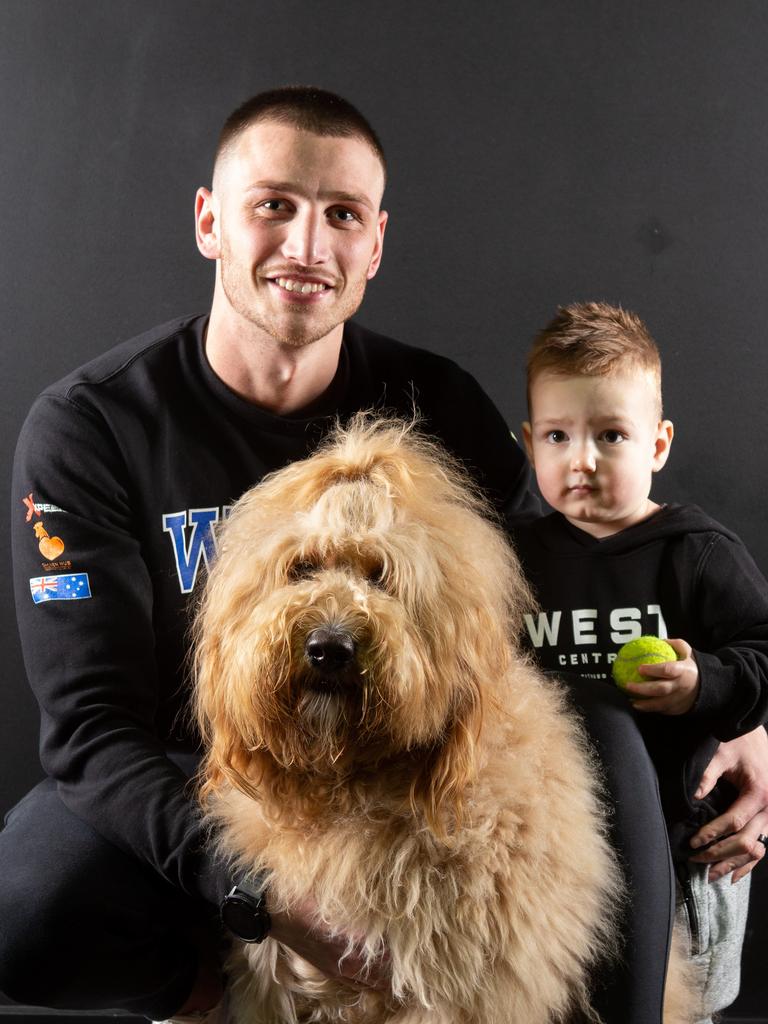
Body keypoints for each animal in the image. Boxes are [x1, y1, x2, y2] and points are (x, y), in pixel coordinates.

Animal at [195, 417, 684, 1024]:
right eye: (301, 568)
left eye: (382, 576)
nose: (328, 647)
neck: (357, 784)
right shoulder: (274, 981)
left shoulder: (467, 990)